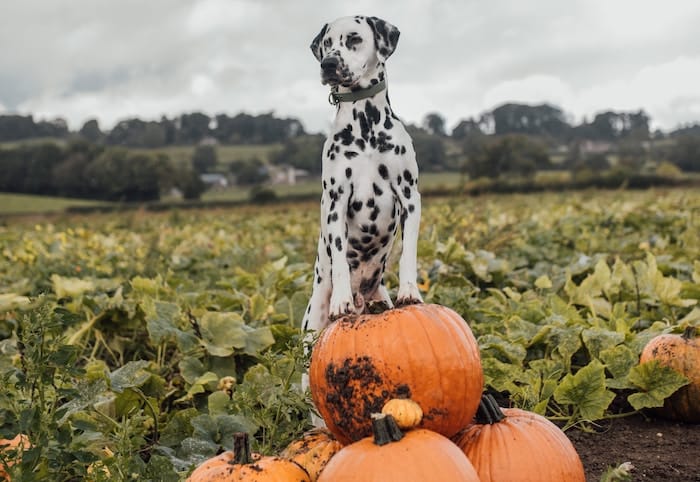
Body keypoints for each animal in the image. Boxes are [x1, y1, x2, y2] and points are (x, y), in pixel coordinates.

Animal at [300, 14, 422, 338]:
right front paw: (341, 300)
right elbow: (340, 257)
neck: (365, 124)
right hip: (311, 325)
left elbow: (409, 252)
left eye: (354, 38)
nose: (328, 63)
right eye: (327, 43)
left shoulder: (410, 196)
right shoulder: (336, 202)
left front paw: (410, 291)